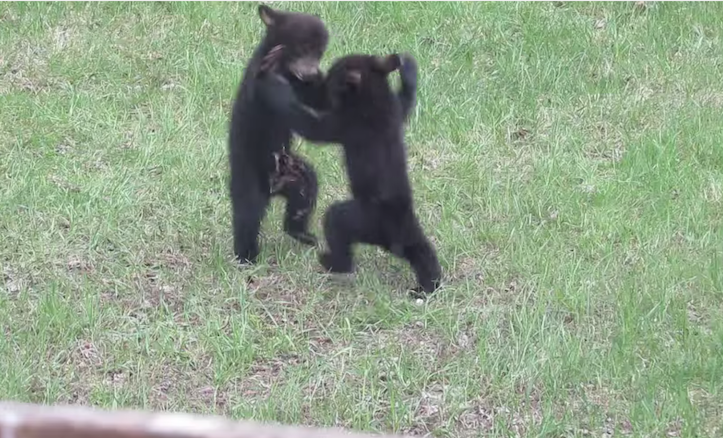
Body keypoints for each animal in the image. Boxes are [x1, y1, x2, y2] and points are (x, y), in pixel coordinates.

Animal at [228, 5, 330, 264]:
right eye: (302, 48)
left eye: (319, 52)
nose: (311, 71)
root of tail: (273, 188)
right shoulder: (265, 85)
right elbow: (298, 116)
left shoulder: (303, 86)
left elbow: (321, 99)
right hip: (248, 180)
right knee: (247, 215)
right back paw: (246, 256)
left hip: (297, 175)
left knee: (304, 196)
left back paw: (302, 234)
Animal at [256, 50, 442, 295]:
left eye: (331, 79)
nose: (320, 81)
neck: (374, 96)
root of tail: (396, 238)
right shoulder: (396, 109)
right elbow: (407, 99)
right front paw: (408, 67)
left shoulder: (341, 123)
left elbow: (306, 121)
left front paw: (275, 86)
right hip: (414, 235)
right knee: (424, 255)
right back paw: (428, 287)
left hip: (356, 219)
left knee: (339, 236)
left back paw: (330, 261)